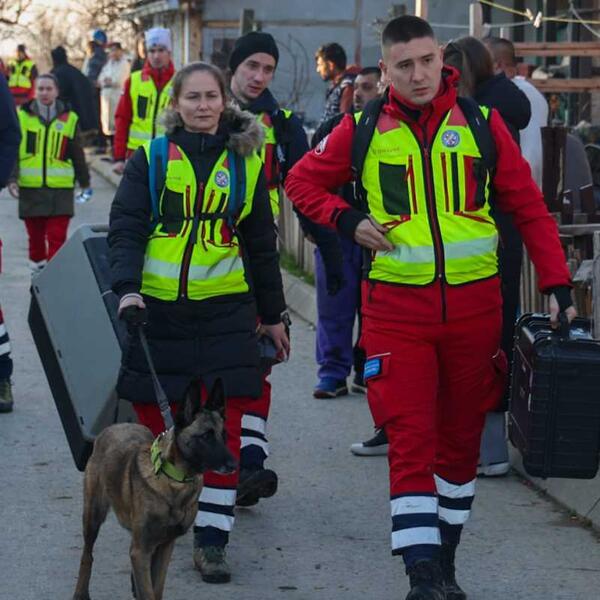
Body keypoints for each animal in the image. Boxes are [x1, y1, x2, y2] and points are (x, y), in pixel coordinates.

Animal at [72, 381, 236, 600]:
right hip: (93, 516)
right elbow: (148, 590)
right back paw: (81, 592)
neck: (175, 482)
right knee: (87, 555)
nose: (233, 465)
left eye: (224, 436)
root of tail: (116, 426)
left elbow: (156, 588)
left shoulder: (165, 546)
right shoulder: (142, 549)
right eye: (206, 436)